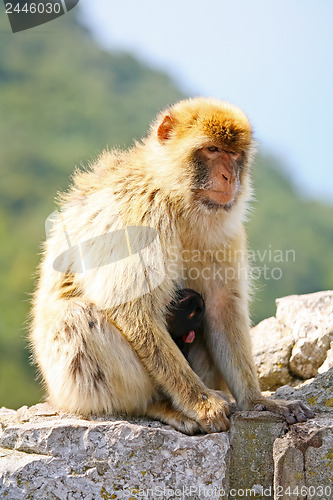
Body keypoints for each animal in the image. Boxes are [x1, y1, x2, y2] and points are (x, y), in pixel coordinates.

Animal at [30, 97, 312, 434]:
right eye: (212, 150)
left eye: (234, 154)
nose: (230, 177)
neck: (176, 198)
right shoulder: (142, 212)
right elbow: (132, 307)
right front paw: (202, 405)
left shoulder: (226, 231)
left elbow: (221, 304)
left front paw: (258, 401)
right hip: (71, 387)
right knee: (76, 316)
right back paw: (157, 405)